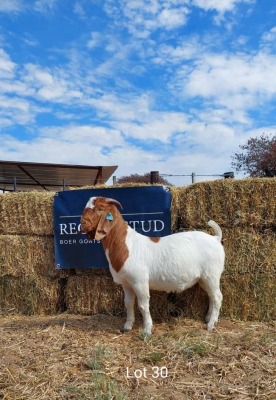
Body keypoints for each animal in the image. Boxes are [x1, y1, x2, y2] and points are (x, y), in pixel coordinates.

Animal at [79, 196, 224, 334]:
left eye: (100, 208)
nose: (82, 224)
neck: (127, 245)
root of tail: (215, 238)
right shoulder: (126, 283)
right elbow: (128, 303)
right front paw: (127, 326)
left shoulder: (140, 281)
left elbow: (143, 306)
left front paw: (147, 330)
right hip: (204, 278)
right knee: (212, 296)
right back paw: (209, 318)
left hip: (211, 275)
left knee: (217, 297)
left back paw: (210, 325)